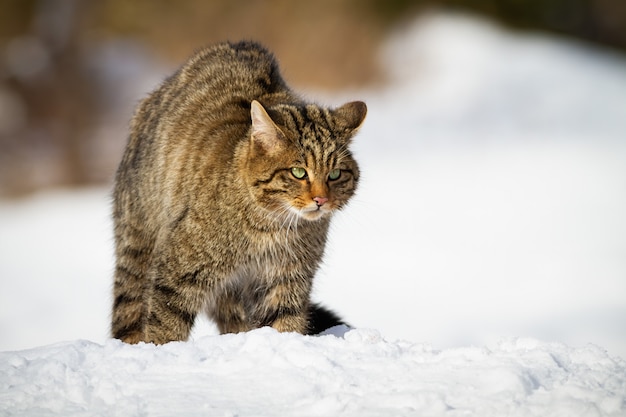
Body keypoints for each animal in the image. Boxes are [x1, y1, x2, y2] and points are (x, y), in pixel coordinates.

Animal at [112, 40, 366, 342]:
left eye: (335, 174)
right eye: (299, 172)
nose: (321, 199)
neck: (271, 227)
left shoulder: (287, 280)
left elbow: (284, 324)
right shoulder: (178, 268)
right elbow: (166, 325)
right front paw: (162, 348)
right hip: (137, 242)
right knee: (127, 309)